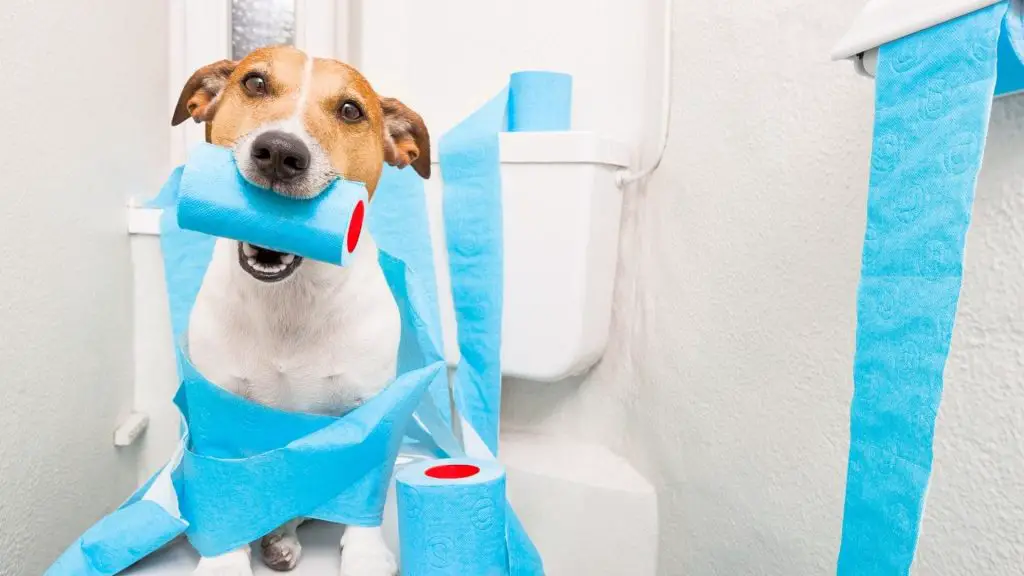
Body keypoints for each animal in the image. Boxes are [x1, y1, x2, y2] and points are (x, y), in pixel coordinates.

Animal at [172, 44, 432, 573]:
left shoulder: (367, 408)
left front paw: (366, 557)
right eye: (254, 83)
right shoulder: (217, 408)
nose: (279, 152)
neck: (289, 302)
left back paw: (283, 538)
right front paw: (225, 561)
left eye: (351, 110)